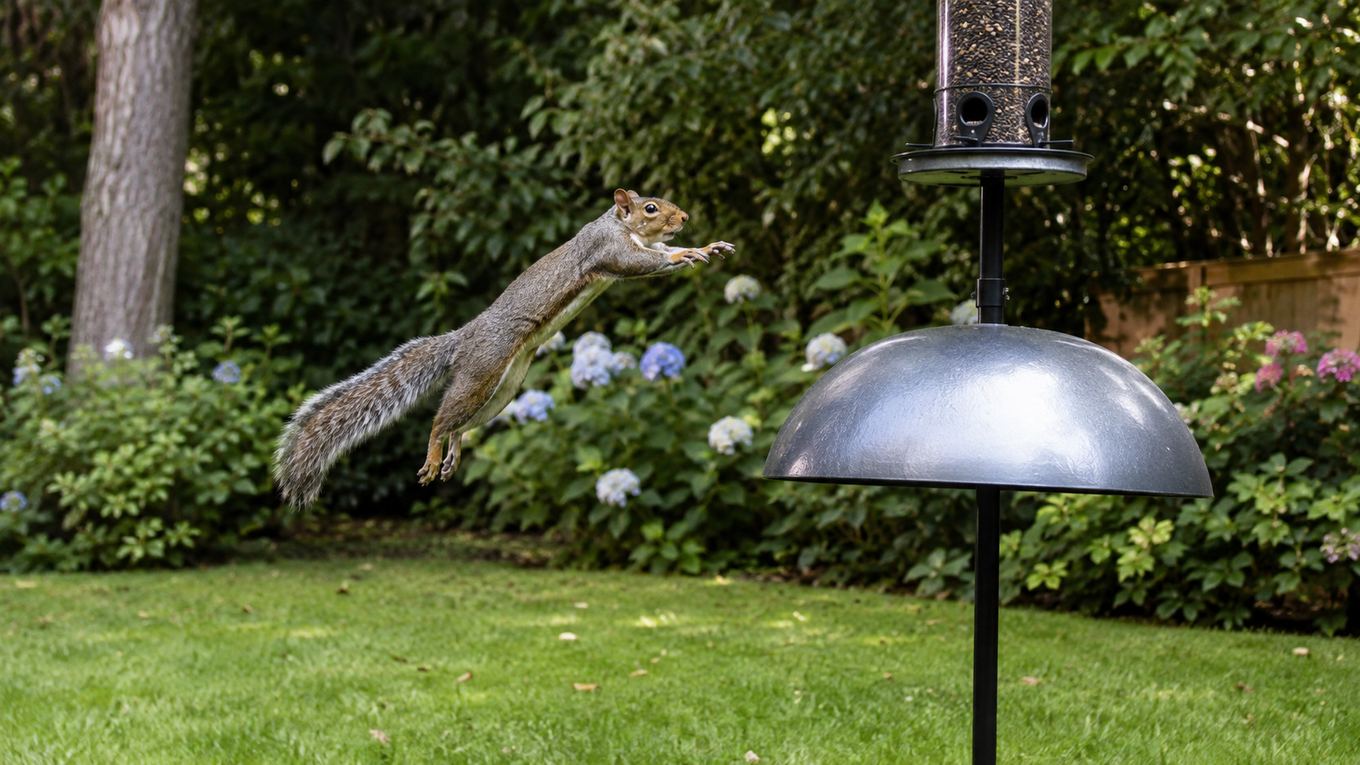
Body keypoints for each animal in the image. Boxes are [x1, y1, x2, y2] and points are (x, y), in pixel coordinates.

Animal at [273, 189, 735, 507]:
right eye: (650, 208)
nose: (684, 217)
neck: (621, 226)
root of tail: (464, 337)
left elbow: (665, 250)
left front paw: (704, 247)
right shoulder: (610, 251)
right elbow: (644, 262)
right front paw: (684, 254)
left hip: (504, 389)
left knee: (461, 424)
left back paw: (453, 453)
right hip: (482, 371)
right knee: (441, 420)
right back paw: (434, 454)